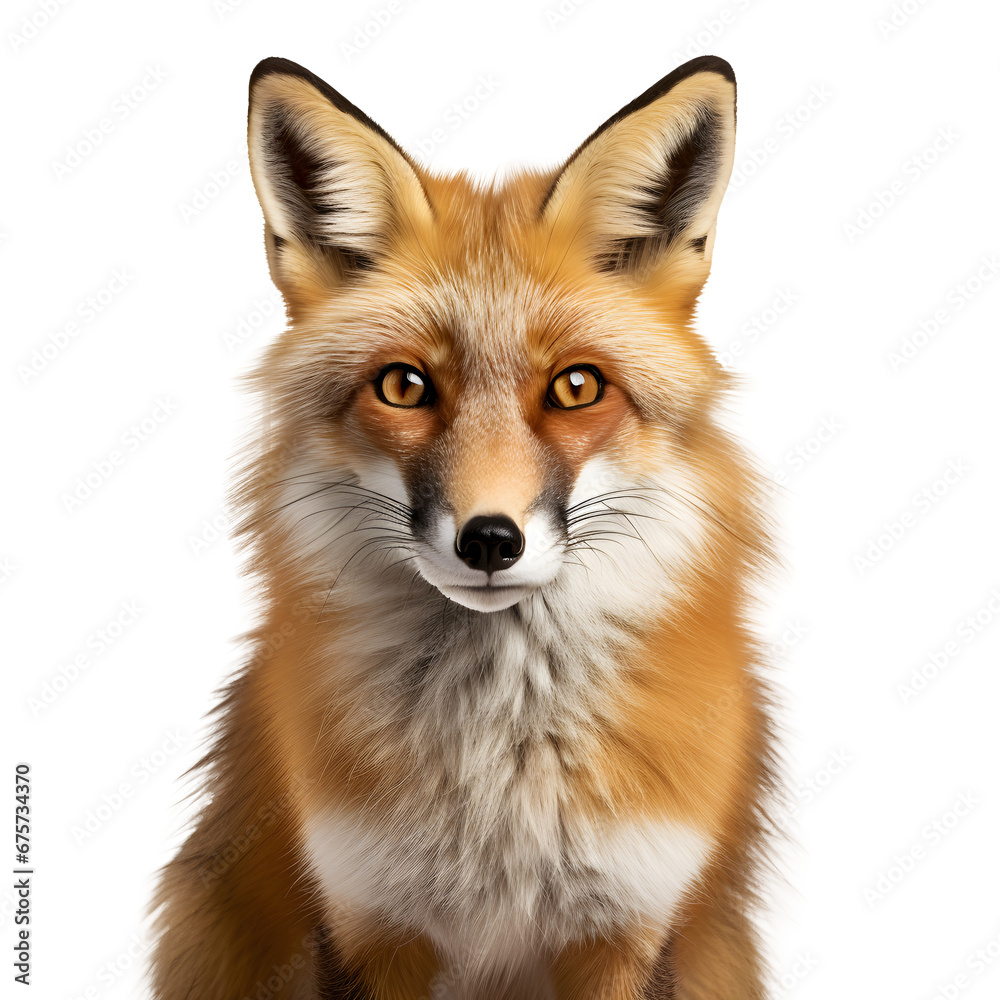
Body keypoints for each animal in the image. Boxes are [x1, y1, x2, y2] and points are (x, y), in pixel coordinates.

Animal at [150, 54, 779, 1000]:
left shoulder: (630, 927)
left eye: (577, 387)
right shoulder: (363, 920)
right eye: (404, 386)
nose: (489, 540)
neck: (498, 778)